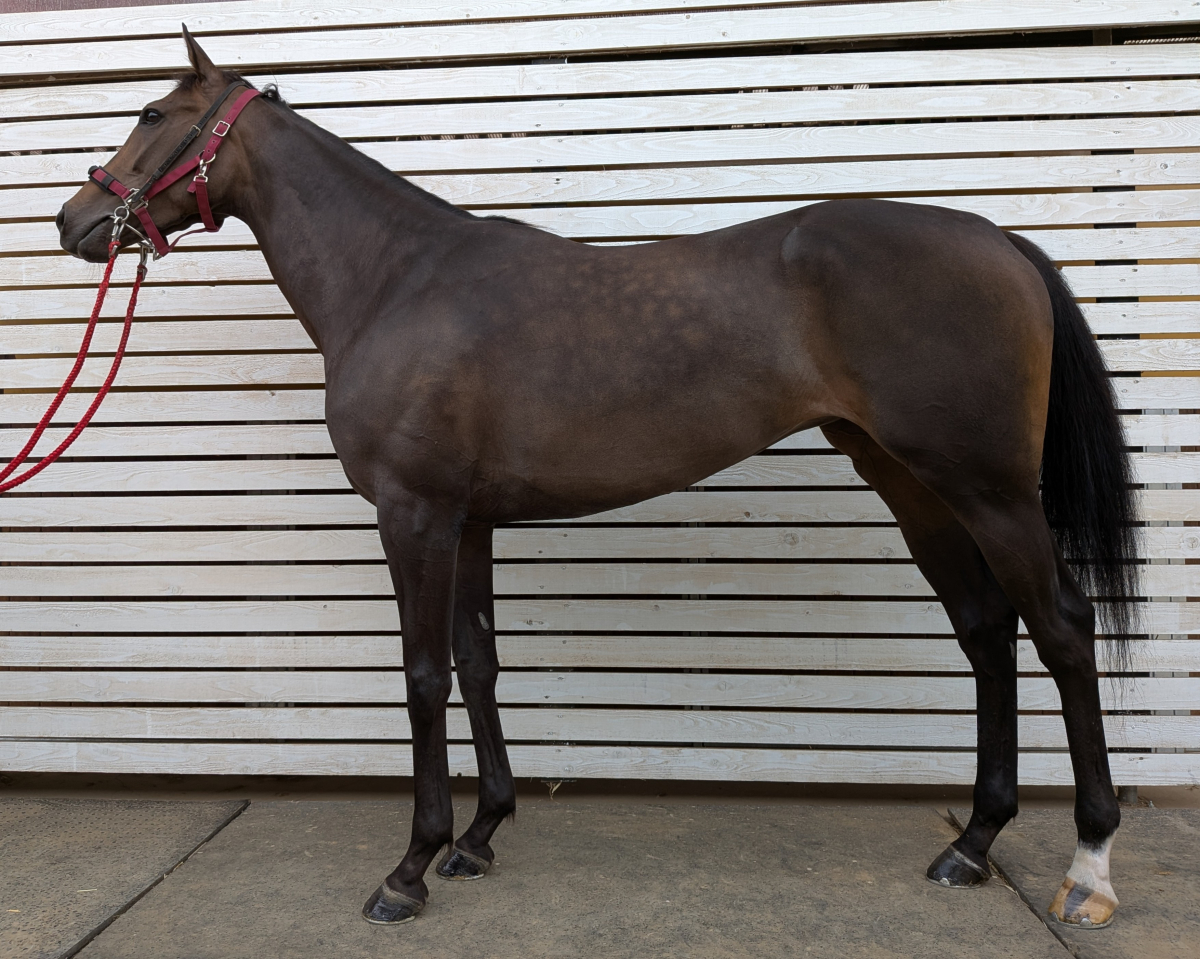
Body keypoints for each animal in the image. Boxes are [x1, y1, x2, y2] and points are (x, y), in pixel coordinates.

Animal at [56, 29, 1139, 929]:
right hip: (914, 484)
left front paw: (409, 866)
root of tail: (998, 239)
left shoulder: (413, 514)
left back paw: (1088, 865)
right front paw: (479, 837)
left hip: (991, 490)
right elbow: (479, 661)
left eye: (149, 113)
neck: (398, 280)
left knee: (1059, 630)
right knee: (987, 632)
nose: (76, 218)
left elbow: (423, 674)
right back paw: (972, 843)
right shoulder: (469, 519)